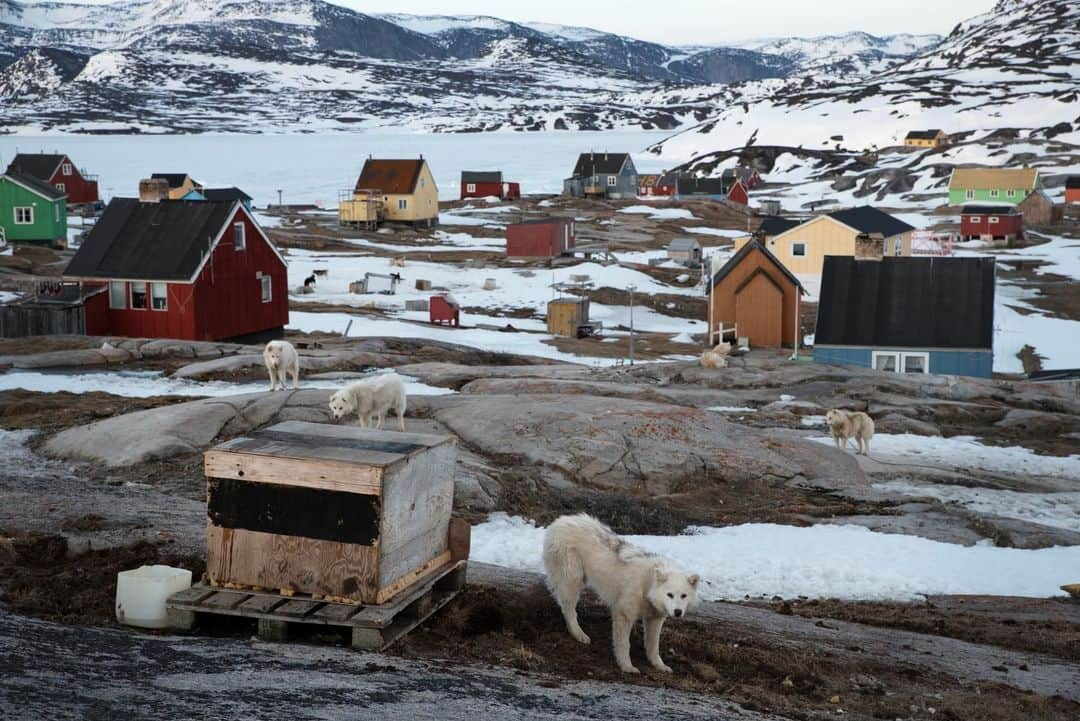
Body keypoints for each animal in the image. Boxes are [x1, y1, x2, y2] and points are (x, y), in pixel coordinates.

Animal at [544, 515, 704, 673]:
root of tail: (560, 521)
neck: (647, 583)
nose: (677, 612)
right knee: (569, 610)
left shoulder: (655, 618)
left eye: (683, 596)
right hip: (573, 580)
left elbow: (653, 646)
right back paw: (579, 634)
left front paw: (659, 665)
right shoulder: (623, 613)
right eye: (669, 594)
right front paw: (627, 666)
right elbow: (624, 644)